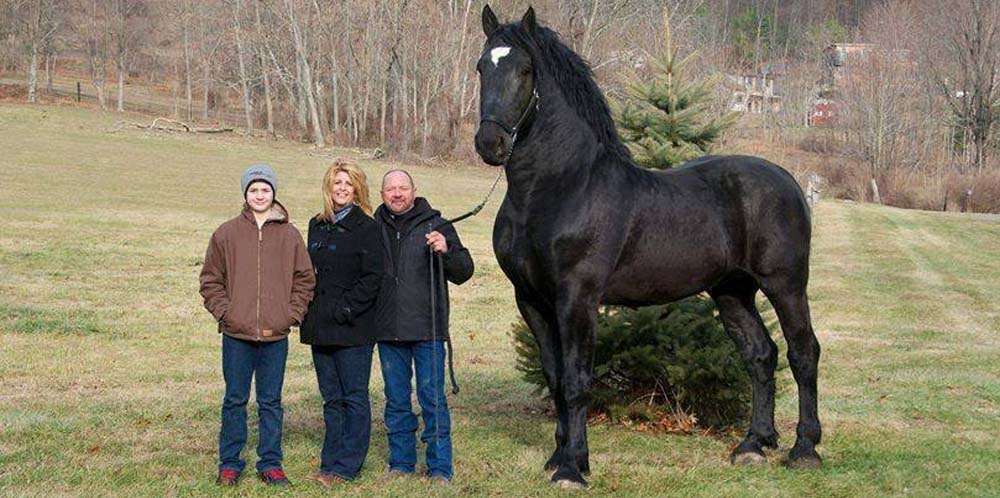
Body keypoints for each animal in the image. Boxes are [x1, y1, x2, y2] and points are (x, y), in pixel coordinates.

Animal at [472, 4, 824, 486]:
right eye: (481, 67)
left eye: (525, 70)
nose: (490, 143)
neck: (559, 188)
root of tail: (787, 180)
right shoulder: (531, 300)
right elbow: (555, 378)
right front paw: (560, 456)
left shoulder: (577, 297)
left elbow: (577, 380)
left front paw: (572, 468)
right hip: (733, 291)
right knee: (760, 355)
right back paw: (753, 445)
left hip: (785, 284)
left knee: (803, 352)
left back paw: (804, 448)